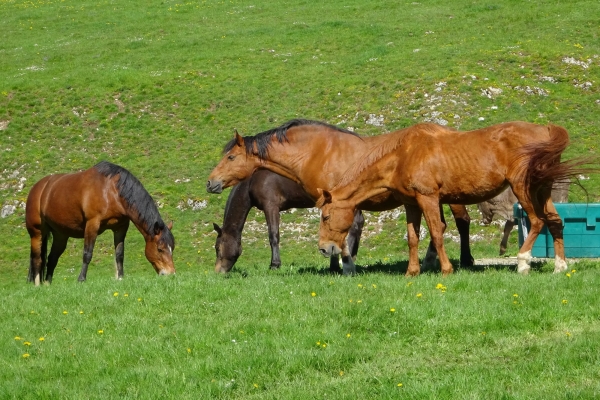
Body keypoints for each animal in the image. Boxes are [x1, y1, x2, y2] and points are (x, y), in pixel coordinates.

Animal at [26, 161, 176, 286]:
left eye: (172, 248)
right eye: (160, 249)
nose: (171, 274)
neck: (111, 191)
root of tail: (38, 188)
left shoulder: (121, 227)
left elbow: (119, 254)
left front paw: (120, 278)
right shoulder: (92, 225)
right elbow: (87, 253)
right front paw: (81, 279)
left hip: (60, 235)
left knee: (52, 258)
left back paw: (48, 284)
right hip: (37, 233)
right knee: (37, 259)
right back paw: (37, 286)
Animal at [213, 167, 364, 274]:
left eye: (217, 248)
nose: (217, 271)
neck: (252, 180)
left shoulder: (271, 206)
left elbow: (273, 236)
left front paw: (274, 264)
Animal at [316, 122, 584, 276]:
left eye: (326, 216)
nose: (323, 248)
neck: (404, 155)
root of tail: (545, 129)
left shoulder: (428, 198)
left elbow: (436, 232)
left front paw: (446, 270)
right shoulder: (411, 204)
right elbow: (413, 238)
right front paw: (412, 272)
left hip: (523, 189)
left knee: (537, 222)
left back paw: (523, 262)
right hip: (542, 190)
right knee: (554, 221)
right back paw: (560, 266)